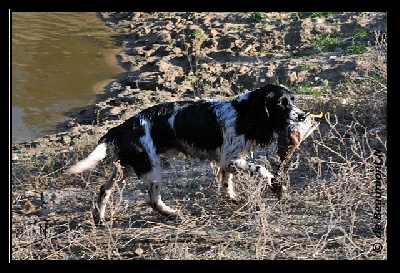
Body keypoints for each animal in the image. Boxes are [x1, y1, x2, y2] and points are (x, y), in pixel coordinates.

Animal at [68, 84, 312, 224]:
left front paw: (231, 197)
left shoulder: (226, 161)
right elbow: (261, 169)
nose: (303, 115)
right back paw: (174, 214)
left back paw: (99, 218)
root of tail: (121, 127)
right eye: (281, 103)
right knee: (153, 201)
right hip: (152, 169)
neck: (243, 114)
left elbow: (226, 183)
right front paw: (277, 186)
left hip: (128, 167)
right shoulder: (231, 159)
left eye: (292, 100)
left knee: (104, 190)